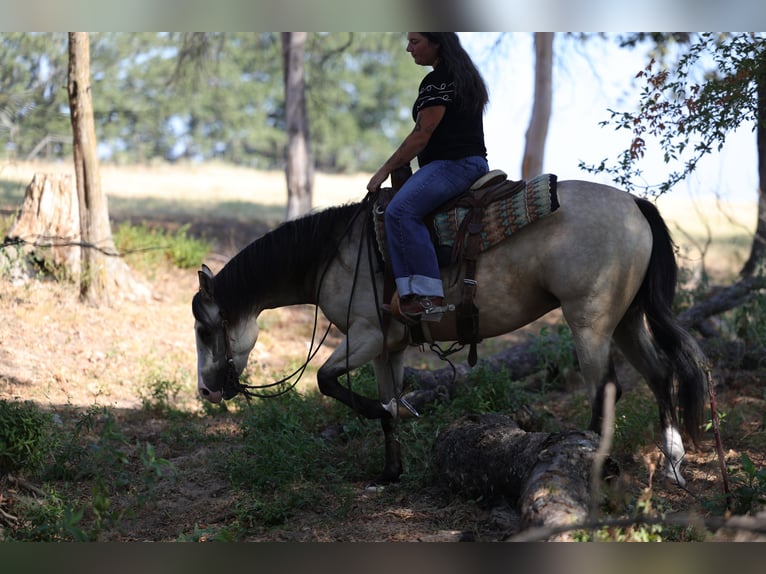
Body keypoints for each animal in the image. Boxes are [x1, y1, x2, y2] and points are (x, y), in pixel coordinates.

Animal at [192, 179, 708, 486]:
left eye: (204, 327)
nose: (206, 392)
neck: (335, 252)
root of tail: (635, 205)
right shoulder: (390, 346)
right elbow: (391, 404)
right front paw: (391, 472)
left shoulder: (366, 336)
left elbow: (329, 382)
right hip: (625, 319)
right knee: (660, 374)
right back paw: (673, 465)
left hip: (590, 321)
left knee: (607, 389)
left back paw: (596, 466)